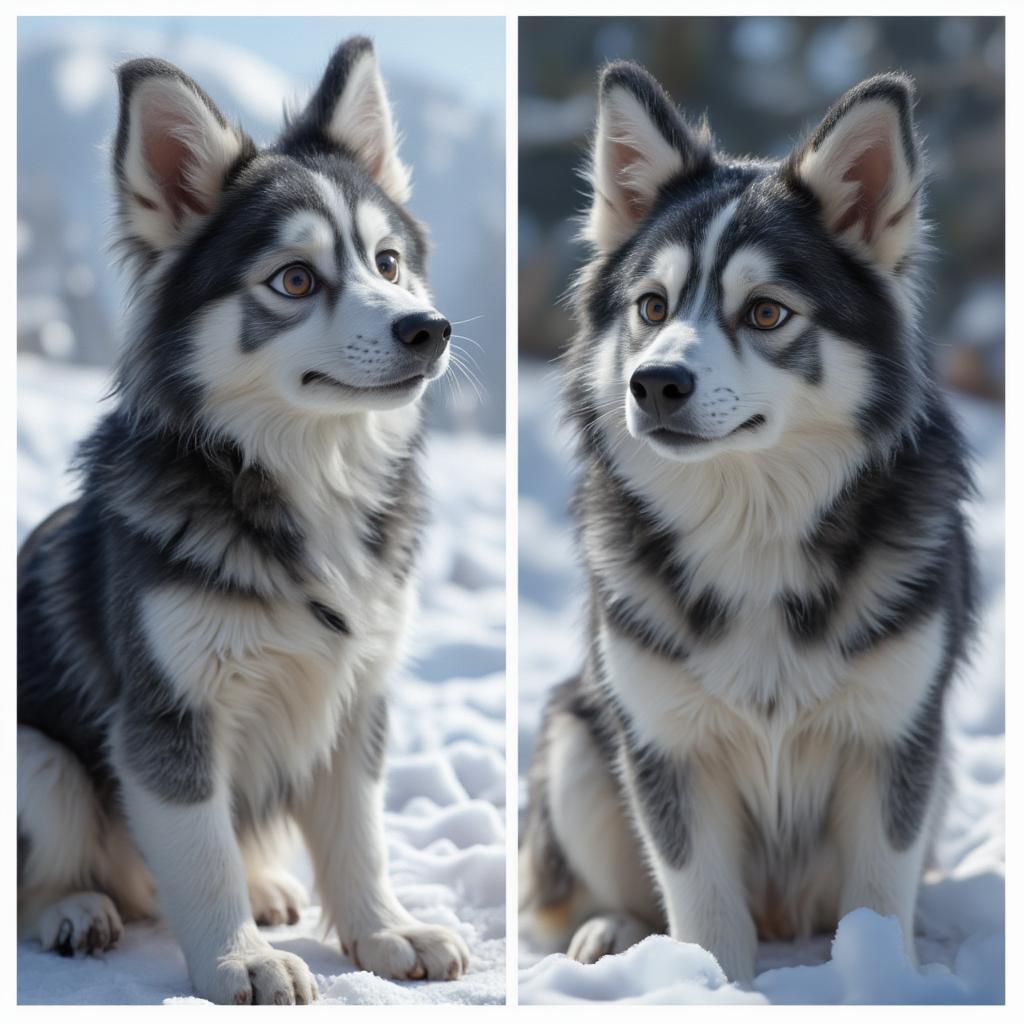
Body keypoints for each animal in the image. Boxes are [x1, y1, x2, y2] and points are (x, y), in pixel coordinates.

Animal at [17, 37, 471, 999]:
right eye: (294, 279)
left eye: (387, 261)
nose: (429, 328)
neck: (306, 479)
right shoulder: (167, 712)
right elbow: (200, 854)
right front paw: (239, 961)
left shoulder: (357, 695)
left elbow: (358, 837)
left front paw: (386, 933)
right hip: (40, 762)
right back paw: (74, 909)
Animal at [520, 64, 974, 983]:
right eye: (651, 307)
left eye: (766, 312)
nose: (654, 384)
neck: (752, 522)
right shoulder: (664, 747)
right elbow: (702, 909)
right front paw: (706, 989)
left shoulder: (897, 739)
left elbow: (879, 898)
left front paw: (883, 981)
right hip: (578, 741)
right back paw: (613, 935)